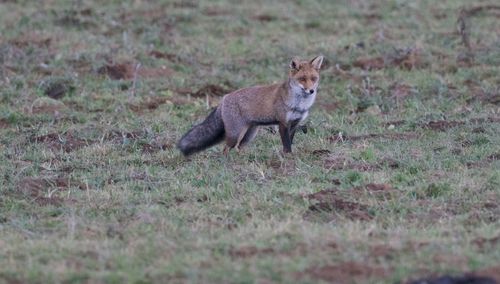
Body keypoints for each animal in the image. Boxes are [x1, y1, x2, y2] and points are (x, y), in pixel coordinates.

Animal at [178, 55, 322, 156]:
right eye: (302, 79)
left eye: (313, 79)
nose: (311, 91)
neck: (299, 103)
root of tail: (224, 98)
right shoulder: (283, 123)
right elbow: (287, 146)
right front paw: (288, 158)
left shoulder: (294, 124)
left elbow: (289, 143)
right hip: (235, 134)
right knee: (226, 148)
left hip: (249, 134)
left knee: (239, 147)